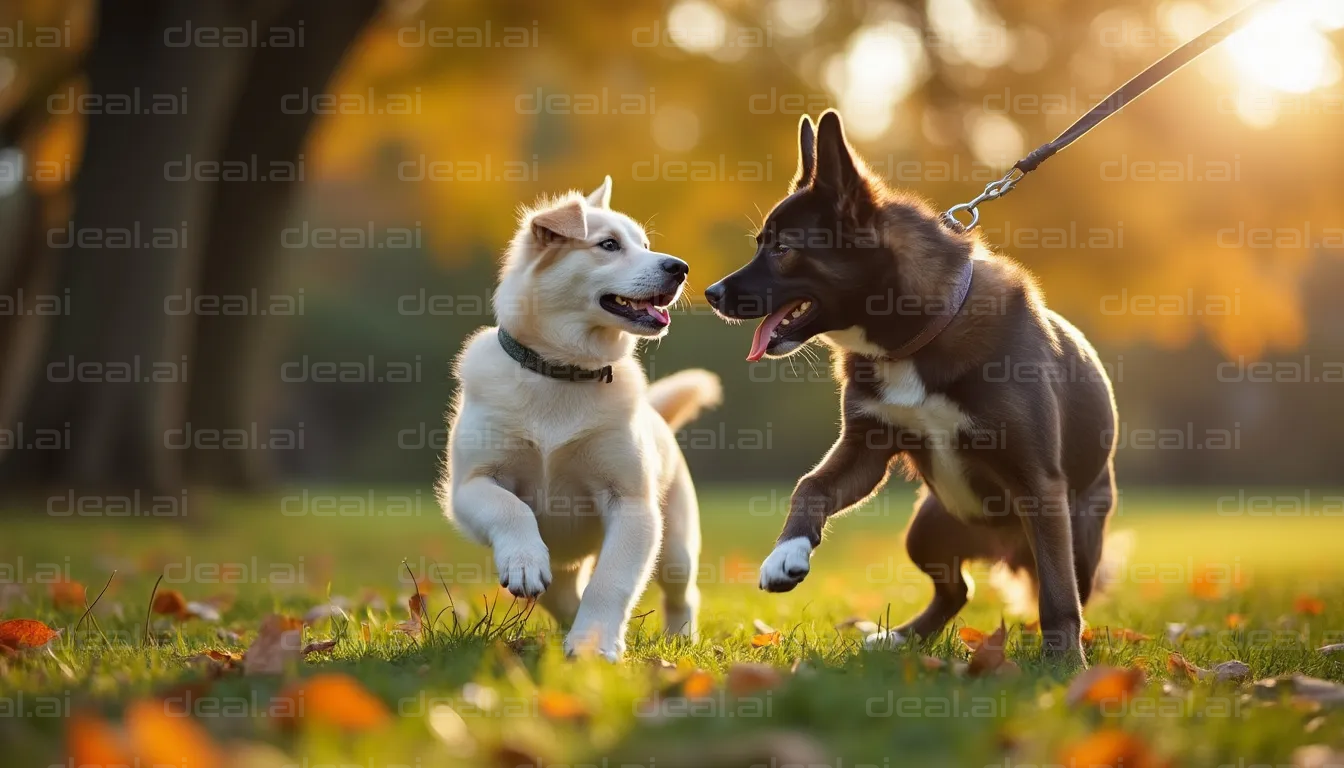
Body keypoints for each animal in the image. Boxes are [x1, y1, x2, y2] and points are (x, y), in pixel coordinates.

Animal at [435, 177, 720, 659]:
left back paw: (678, 638)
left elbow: (611, 582)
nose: (680, 268)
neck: (564, 371)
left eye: (646, 245)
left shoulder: (632, 504)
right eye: (608, 245)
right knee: (563, 594)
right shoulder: (471, 486)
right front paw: (524, 560)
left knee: (683, 595)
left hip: (676, 547)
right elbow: (510, 508)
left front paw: (593, 646)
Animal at [709, 110, 1118, 664]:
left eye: (783, 248)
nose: (710, 293)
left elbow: (1058, 598)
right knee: (957, 590)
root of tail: (1002, 549)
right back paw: (900, 637)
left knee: (1052, 587)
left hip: (1075, 536)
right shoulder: (866, 448)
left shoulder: (1040, 486)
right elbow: (810, 485)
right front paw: (785, 553)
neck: (917, 339)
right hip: (926, 530)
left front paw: (1064, 665)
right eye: (761, 243)